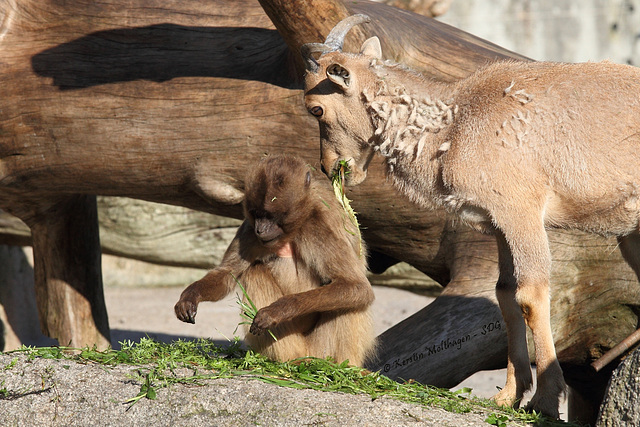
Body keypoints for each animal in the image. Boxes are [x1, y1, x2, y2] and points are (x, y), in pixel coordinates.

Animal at [302, 15, 640, 420]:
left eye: (315, 108)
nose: (330, 167)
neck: (454, 126)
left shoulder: (521, 211)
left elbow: (531, 295)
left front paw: (544, 401)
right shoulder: (499, 225)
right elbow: (506, 295)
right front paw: (507, 396)